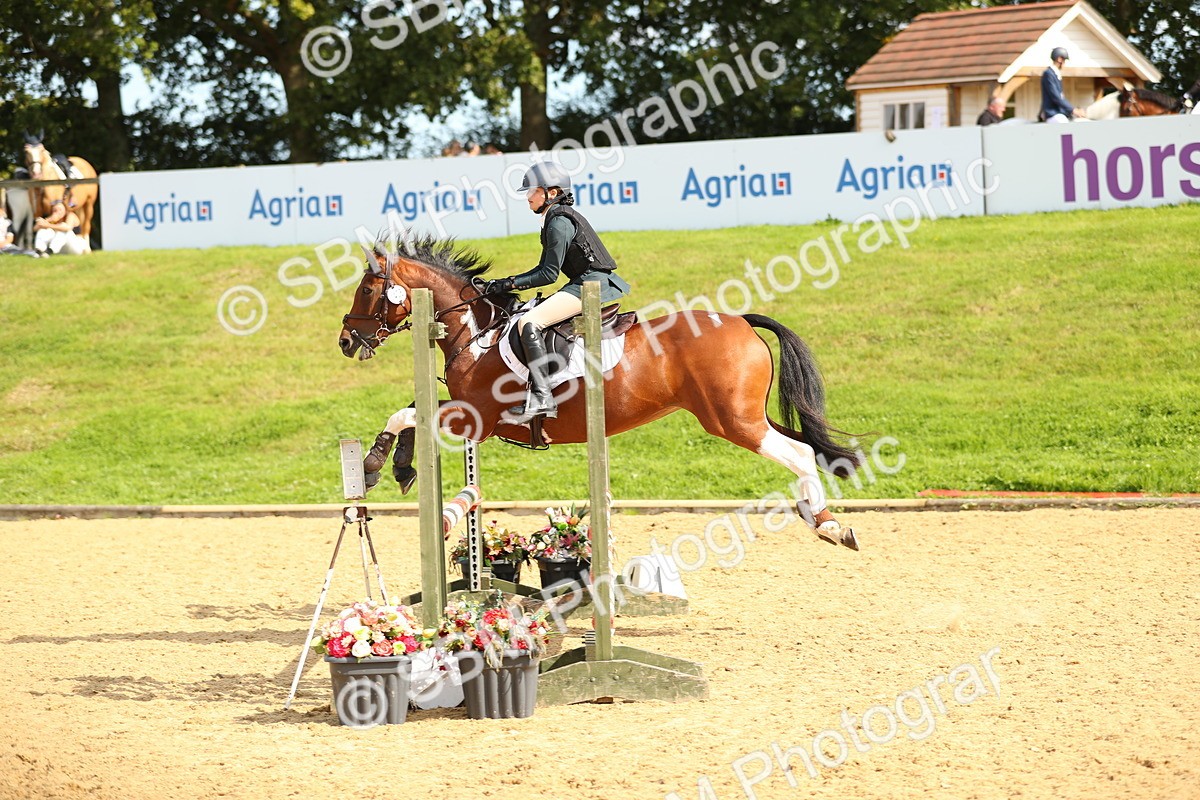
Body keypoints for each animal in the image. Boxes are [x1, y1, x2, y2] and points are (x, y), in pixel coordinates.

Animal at [337, 233, 865, 550]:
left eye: (367, 289)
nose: (345, 341)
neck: (476, 333)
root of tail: (740, 321)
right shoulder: (470, 416)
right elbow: (411, 409)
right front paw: (399, 467)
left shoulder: (478, 419)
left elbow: (404, 414)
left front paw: (375, 465)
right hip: (747, 414)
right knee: (804, 447)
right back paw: (819, 516)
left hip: (733, 421)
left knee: (799, 452)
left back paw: (828, 524)